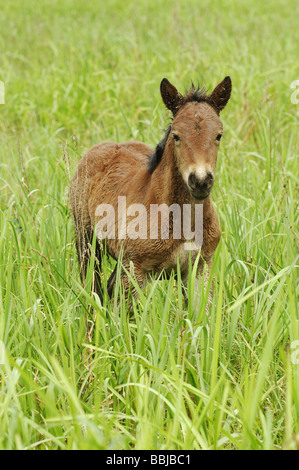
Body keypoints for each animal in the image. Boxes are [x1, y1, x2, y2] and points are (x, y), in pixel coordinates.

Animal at [69, 77, 232, 308]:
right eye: (176, 136)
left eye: (218, 135)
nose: (200, 182)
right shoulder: (134, 271)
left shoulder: (200, 268)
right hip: (86, 241)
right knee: (92, 289)